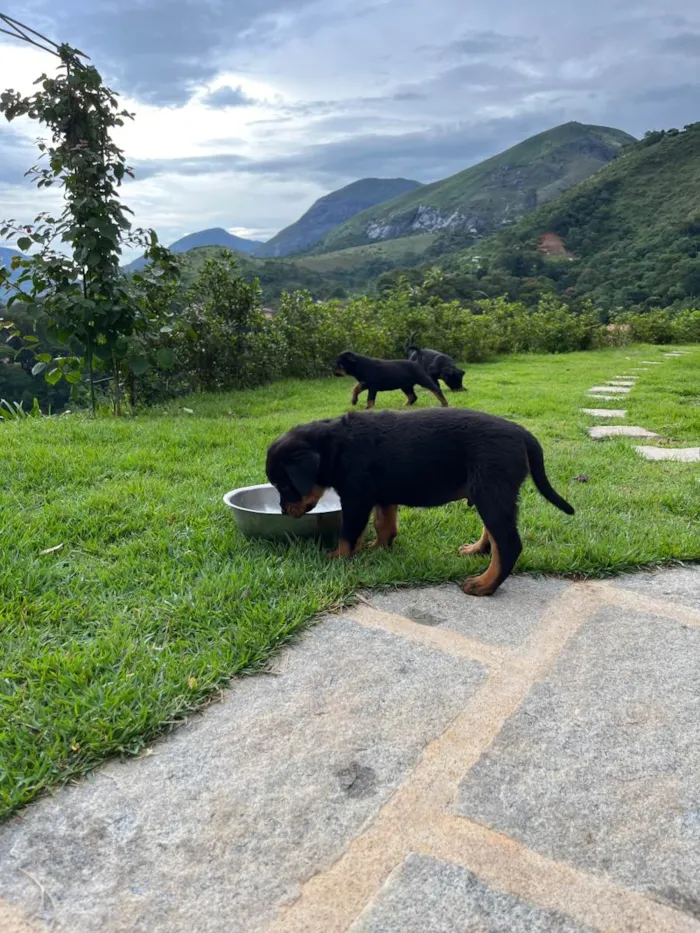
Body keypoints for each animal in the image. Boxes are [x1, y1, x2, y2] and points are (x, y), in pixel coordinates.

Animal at [264, 408, 576, 596]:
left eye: (284, 485)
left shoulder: (356, 498)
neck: (335, 446)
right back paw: (476, 551)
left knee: (509, 543)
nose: (282, 510)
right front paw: (379, 548)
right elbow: (384, 523)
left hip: (490, 491)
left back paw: (483, 585)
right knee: (496, 536)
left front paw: (338, 558)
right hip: (492, 492)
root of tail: (522, 433)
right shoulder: (382, 495)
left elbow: (348, 534)